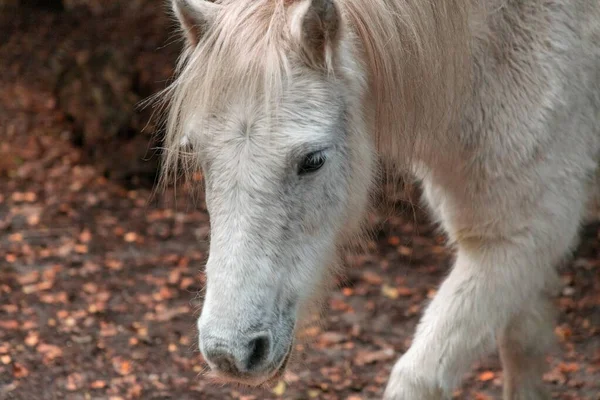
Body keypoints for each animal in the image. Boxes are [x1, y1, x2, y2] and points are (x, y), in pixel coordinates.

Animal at [156, 1, 600, 398]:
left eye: (313, 160)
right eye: (198, 154)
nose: (230, 353)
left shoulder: (520, 239)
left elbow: (418, 378)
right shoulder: (518, 245)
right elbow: (523, 345)